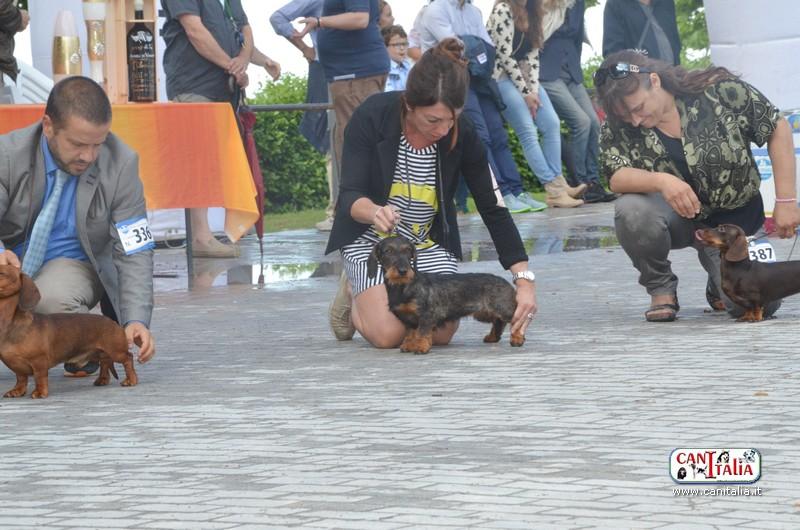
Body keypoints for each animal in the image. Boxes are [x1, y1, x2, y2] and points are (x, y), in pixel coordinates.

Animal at [0, 264, 137, 398]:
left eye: (2, 272)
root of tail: (113, 322)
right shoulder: (17, 367)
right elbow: (21, 379)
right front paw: (17, 391)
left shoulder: (39, 361)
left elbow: (40, 377)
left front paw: (40, 392)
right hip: (99, 352)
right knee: (105, 362)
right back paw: (102, 380)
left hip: (116, 351)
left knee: (128, 359)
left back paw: (131, 380)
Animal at [367, 235, 524, 354]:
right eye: (388, 251)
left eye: (408, 251)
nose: (403, 271)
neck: (403, 288)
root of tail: (506, 282)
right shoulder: (407, 319)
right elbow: (411, 333)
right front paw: (409, 345)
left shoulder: (426, 315)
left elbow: (422, 332)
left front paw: (420, 347)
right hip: (483, 313)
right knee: (499, 322)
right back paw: (493, 337)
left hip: (501, 309)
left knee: (516, 320)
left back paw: (517, 338)